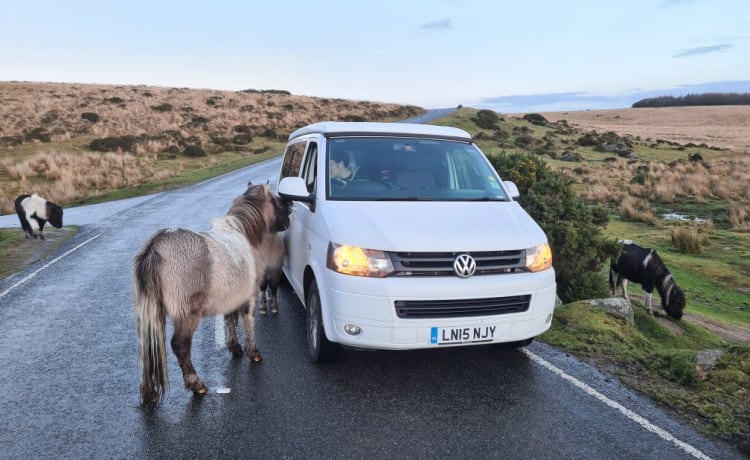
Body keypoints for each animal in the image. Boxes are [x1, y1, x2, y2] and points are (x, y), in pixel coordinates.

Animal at [133, 183, 290, 406]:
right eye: (275, 201)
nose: (289, 214)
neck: (243, 236)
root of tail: (155, 247)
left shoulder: (232, 298)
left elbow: (230, 321)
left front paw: (235, 348)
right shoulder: (248, 298)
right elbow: (248, 323)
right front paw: (253, 353)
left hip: (151, 315)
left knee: (147, 349)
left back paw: (150, 393)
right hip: (186, 317)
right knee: (180, 346)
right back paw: (196, 384)